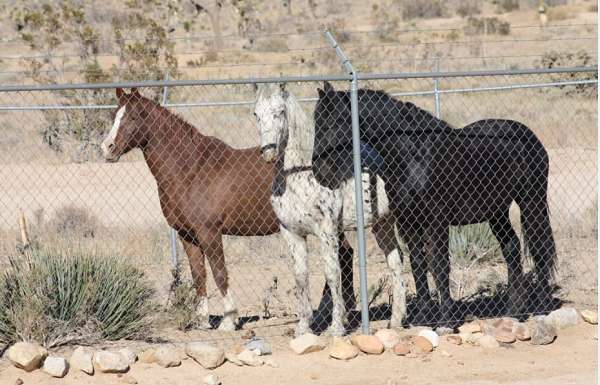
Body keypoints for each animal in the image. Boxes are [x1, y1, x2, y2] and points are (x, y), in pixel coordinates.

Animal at [98, 88, 352, 330]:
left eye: (133, 116)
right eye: (114, 115)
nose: (107, 148)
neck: (191, 171)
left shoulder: (209, 232)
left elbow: (219, 272)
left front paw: (229, 320)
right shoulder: (187, 236)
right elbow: (199, 274)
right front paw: (201, 320)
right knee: (346, 256)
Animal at [251, 82, 406, 334]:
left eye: (280, 112)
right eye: (256, 114)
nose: (269, 152)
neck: (300, 174)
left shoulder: (327, 232)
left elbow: (333, 274)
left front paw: (337, 326)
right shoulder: (292, 233)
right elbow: (300, 277)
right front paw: (303, 327)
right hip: (382, 225)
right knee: (396, 263)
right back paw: (396, 320)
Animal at [314, 82, 556, 328]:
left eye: (335, 121)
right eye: (316, 121)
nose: (320, 173)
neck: (414, 157)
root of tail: (528, 135)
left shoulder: (436, 221)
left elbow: (439, 266)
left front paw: (446, 320)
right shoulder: (408, 223)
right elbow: (418, 264)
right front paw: (423, 318)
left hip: (531, 201)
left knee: (540, 247)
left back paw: (543, 307)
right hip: (497, 212)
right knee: (511, 248)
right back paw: (514, 312)